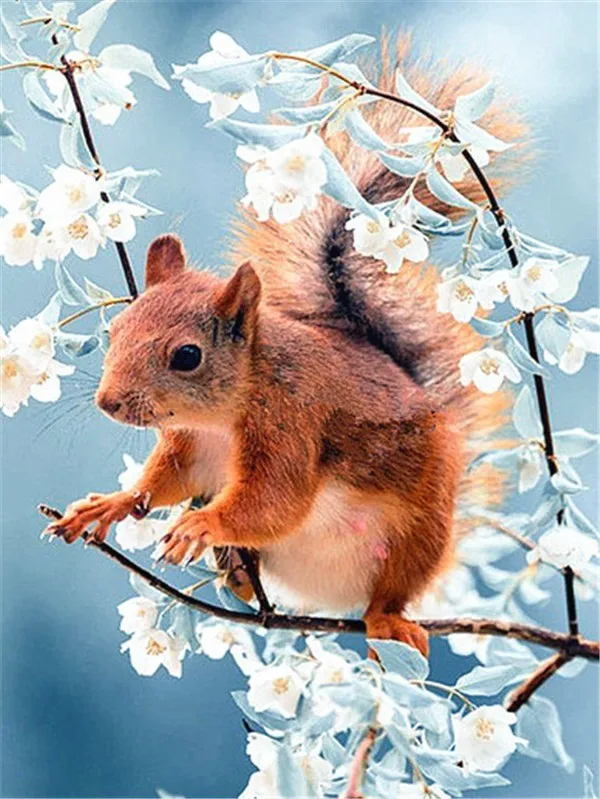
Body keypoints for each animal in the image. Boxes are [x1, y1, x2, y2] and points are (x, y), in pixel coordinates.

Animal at [48, 37, 525, 655]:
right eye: (115, 331)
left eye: (186, 356)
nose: (109, 403)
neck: (220, 419)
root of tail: (330, 598)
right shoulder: (188, 448)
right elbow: (162, 484)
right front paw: (110, 504)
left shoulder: (291, 425)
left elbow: (275, 501)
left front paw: (203, 524)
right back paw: (235, 574)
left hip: (419, 535)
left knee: (392, 590)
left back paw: (386, 621)